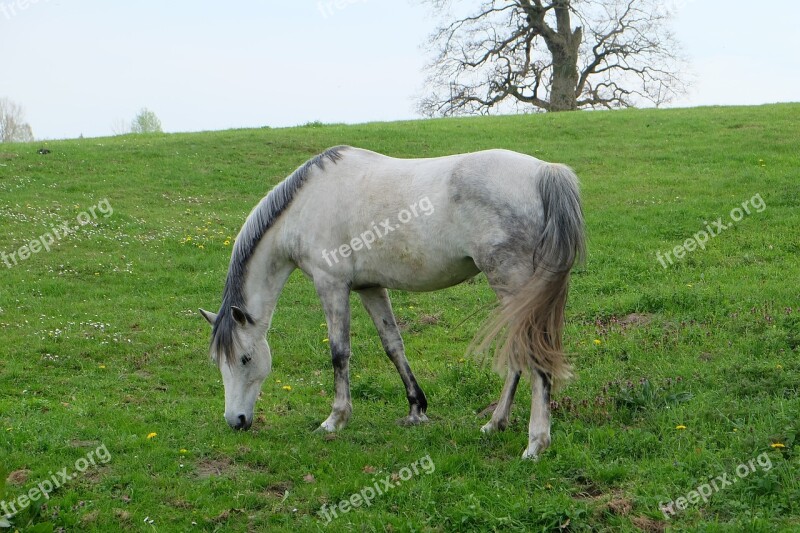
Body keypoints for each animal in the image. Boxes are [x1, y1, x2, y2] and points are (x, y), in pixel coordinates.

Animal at [200, 145, 584, 458]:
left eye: (245, 359)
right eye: (219, 362)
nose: (236, 420)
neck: (306, 204)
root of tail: (544, 172)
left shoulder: (332, 286)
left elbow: (339, 353)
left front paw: (335, 419)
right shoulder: (370, 287)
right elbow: (393, 345)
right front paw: (416, 409)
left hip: (514, 288)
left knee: (533, 353)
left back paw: (535, 443)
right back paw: (495, 423)